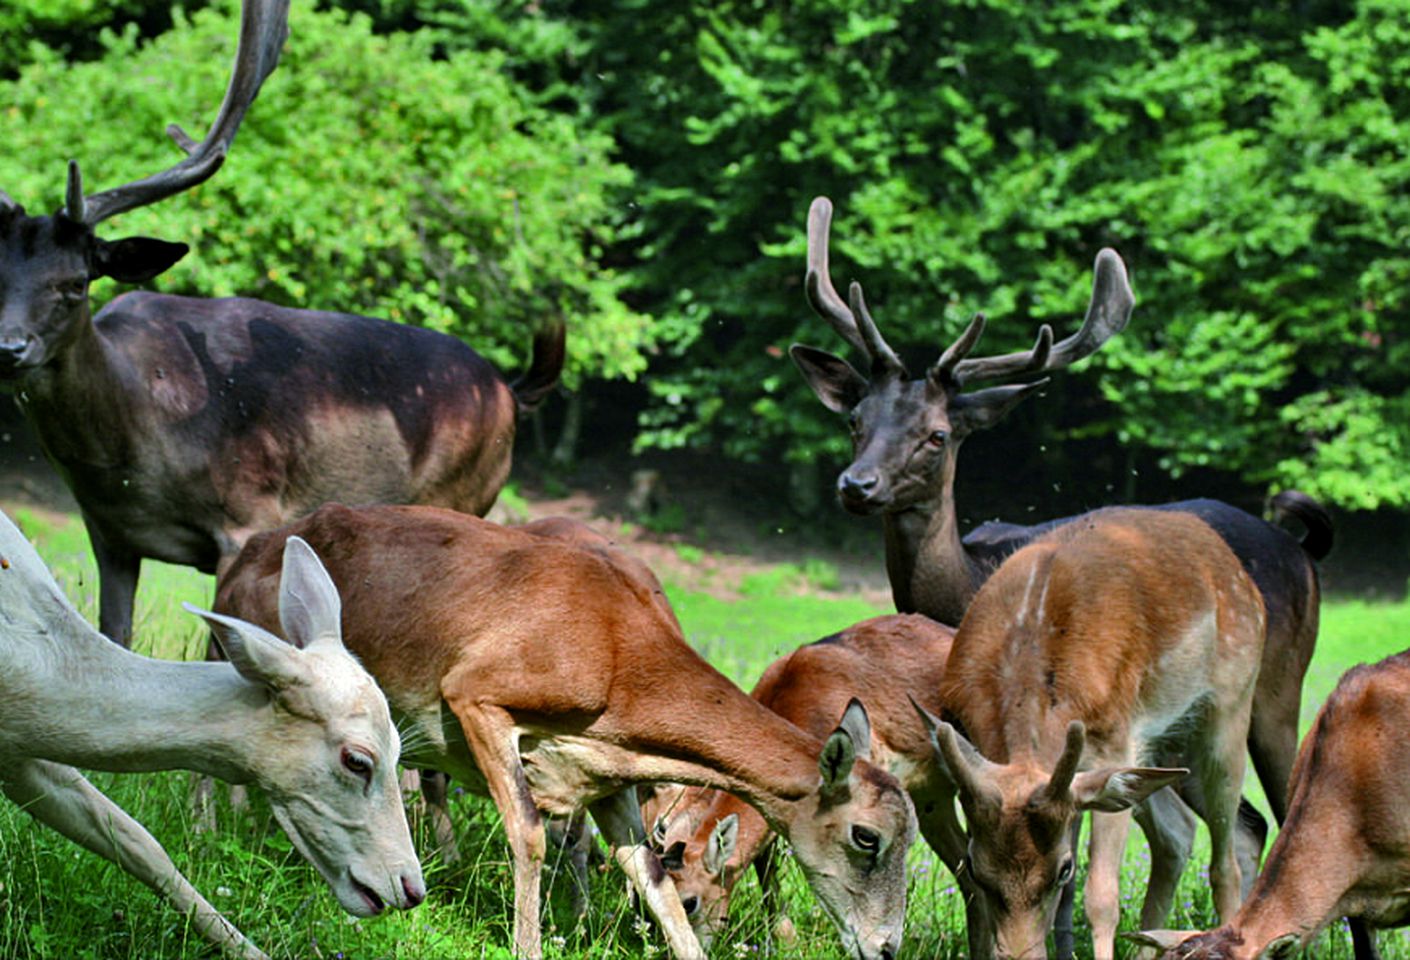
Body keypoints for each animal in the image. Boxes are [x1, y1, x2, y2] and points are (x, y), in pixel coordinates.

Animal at [0, 0, 561, 648]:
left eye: (75, 283)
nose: (9, 347)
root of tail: (510, 391)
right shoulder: (109, 534)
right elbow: (115, 635)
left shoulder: (247, 513)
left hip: (466, 491)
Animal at [908, 504, 1274, 952]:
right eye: (976, 866)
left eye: (1064, 868)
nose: (1020, 956)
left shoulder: (1112, 744)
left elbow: (1100, 897)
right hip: (1152, 743)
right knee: (1176, 833)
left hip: (1230, 708)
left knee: (1225, 863)